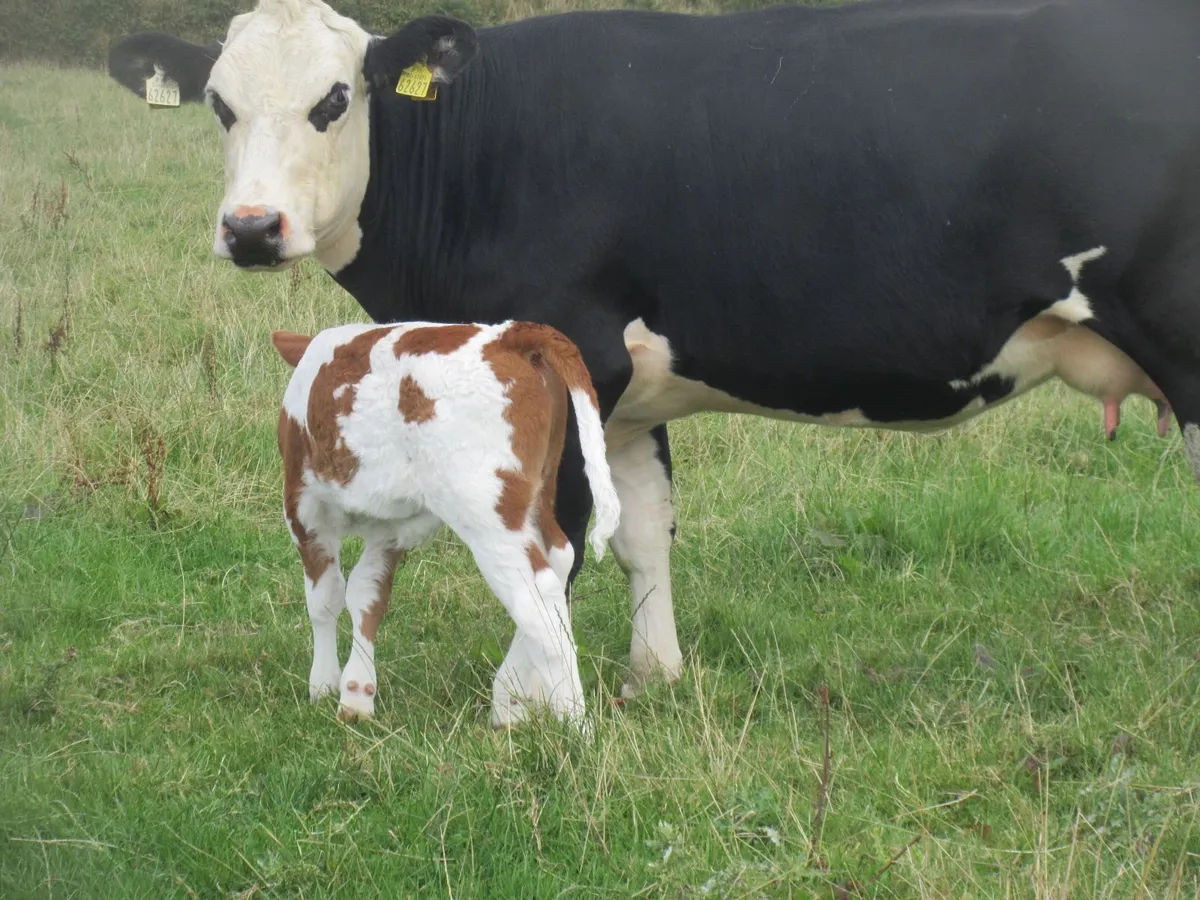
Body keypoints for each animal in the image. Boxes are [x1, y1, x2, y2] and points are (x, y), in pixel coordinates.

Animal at [270, 320, 619, 724]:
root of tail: (508, 335)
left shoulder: (303, 506)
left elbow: (325, 597)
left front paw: (323, 685)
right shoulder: (393, 527)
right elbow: (367, 594)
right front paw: (356, 693)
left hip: (487, 514)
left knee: (535, 593)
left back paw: (573, 722)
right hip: (539, 491)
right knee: (560, 561)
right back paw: (510, 698)